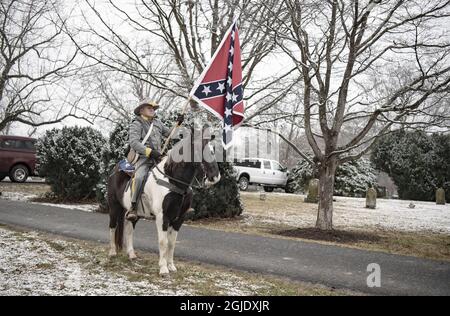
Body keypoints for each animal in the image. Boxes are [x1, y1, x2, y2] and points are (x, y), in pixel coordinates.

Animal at [107, 127, 220, 276]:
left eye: (213, 149)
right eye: (198, 149)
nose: (215, 177)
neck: (173, 180)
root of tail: (115, 169)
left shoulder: (179, 218)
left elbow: (172, 242)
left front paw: (171, 265)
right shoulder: (162, 217)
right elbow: (163, 241)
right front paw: (163, 268)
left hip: (134, 213)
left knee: (129, 229)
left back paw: (131, 254)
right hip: (114, 207)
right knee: (112, 227)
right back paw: (112, 252)